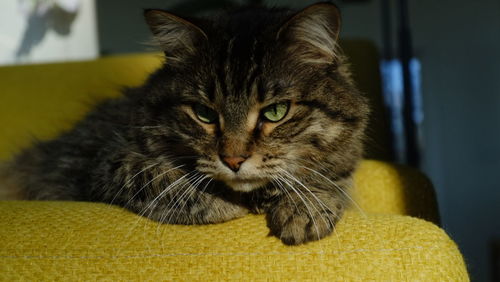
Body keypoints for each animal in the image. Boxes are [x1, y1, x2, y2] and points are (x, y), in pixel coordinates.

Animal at [0, 2, 368, 245]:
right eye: (204, 113)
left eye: (275, 112)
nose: (233, 161)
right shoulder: (100, 161)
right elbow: (155, 176)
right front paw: (221, 205)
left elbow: (329, 179)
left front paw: (304, 208)